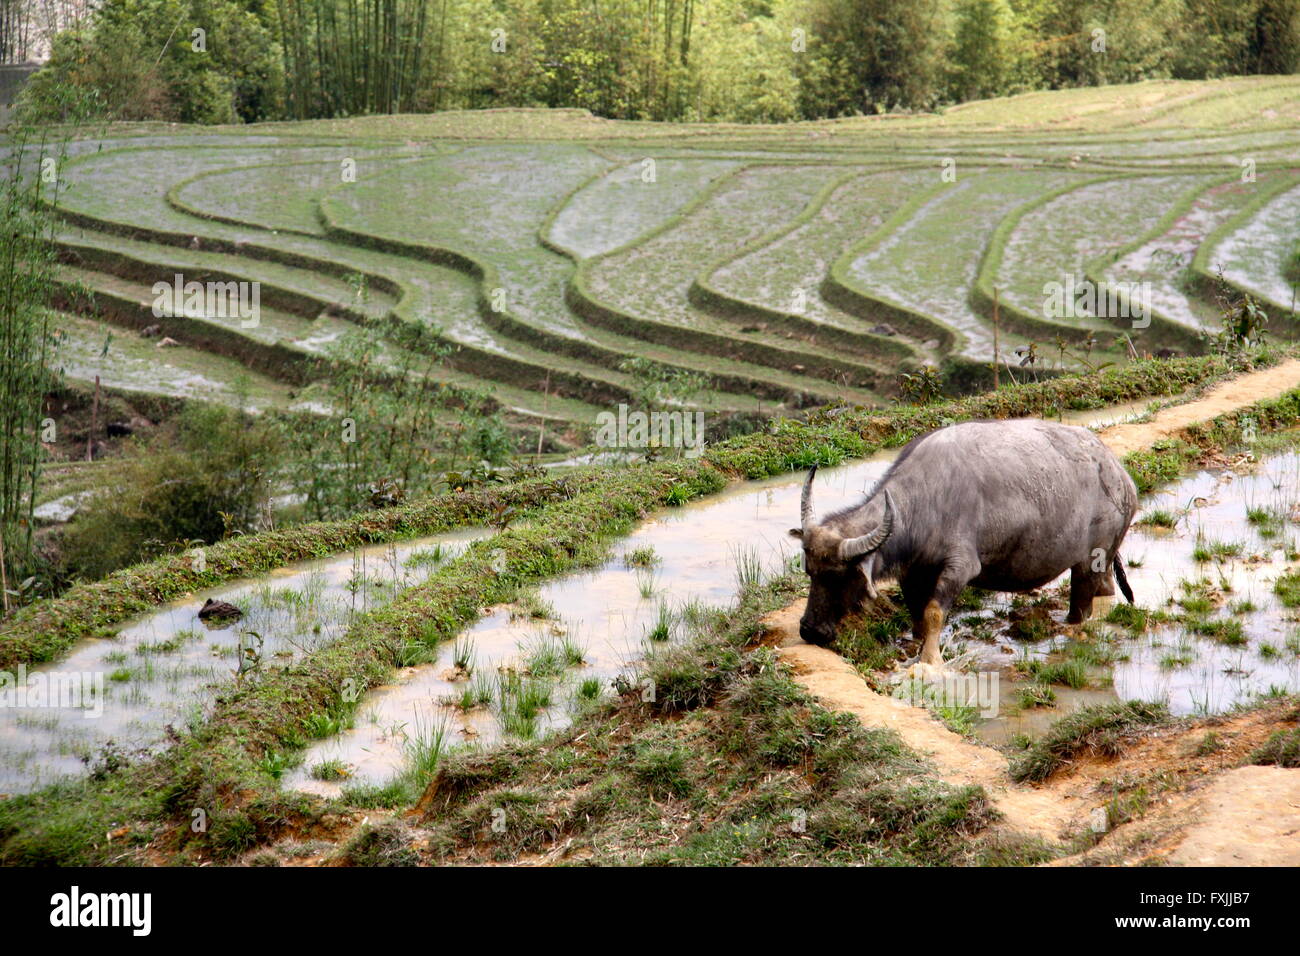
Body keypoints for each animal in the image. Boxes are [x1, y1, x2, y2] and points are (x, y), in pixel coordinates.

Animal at [785, 421, 1133, 671]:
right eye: (810, 572)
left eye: (839, 577)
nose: (810, 631)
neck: (928, 501)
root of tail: (1120, 475)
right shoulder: (912, 572)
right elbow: (917, 613)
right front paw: (917, 646)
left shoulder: (960, 567)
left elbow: (934, 612)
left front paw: (929, 661)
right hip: (1102, 562)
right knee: (1106, 589)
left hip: (1089, 562)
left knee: (1082, 605)